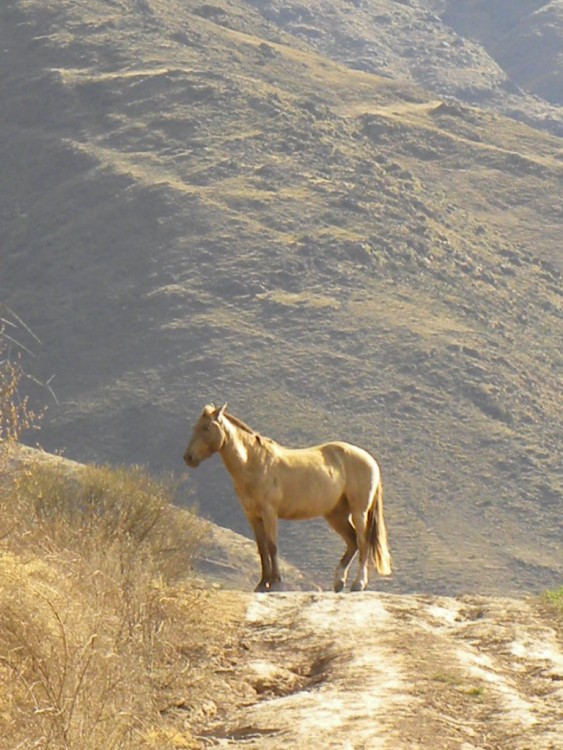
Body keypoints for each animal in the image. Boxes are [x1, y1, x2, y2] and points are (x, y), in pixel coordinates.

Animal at [185, 406, 392, 592]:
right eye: (194, 427)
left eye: (206, 428)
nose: (188, 457)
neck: (254, 462)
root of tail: (370, 460)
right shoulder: (252, 516)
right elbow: (261, 549)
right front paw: (262, 584)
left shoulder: (269, 513)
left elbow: (272, 546)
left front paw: (275, 583)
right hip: (336, 515)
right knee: (352, 542)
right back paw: (338, 582)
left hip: (359, 512)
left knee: (363, 544)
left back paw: (358, 584)